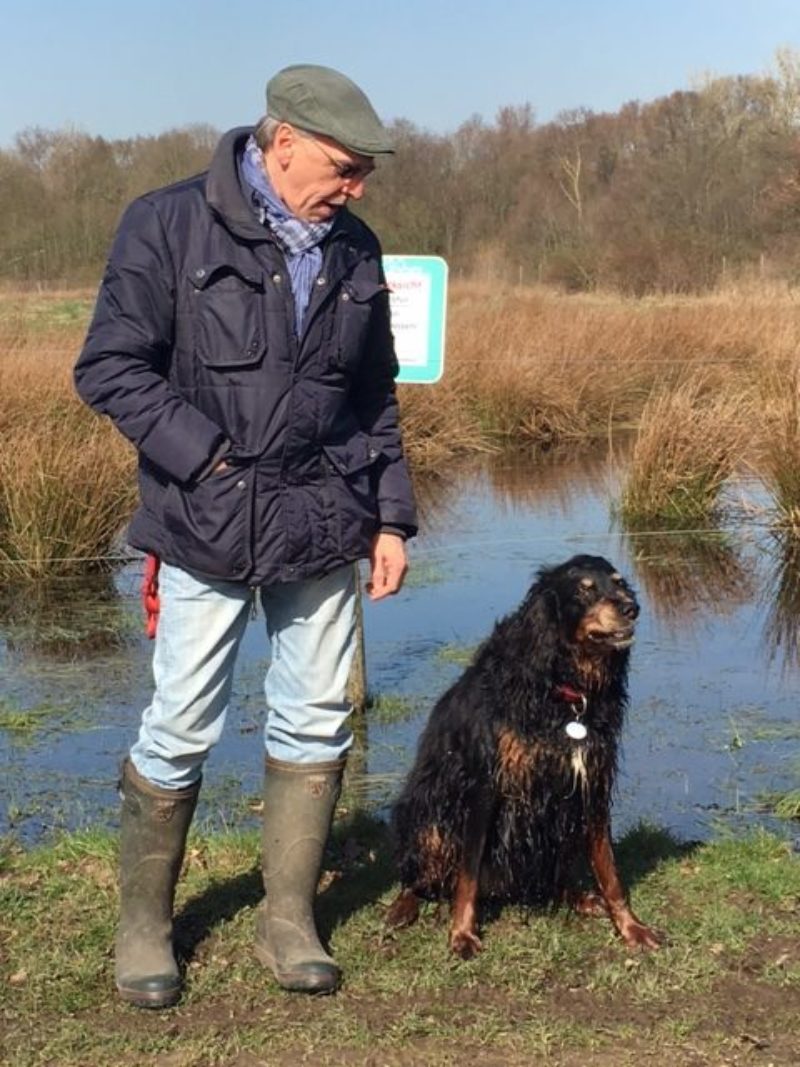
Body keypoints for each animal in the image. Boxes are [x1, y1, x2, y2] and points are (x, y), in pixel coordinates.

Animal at [388, 554, 665, 956]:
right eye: (584, 590)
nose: (632, 608)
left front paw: (631, 926)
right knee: (419, 877)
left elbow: (609, 869)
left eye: (618, 583)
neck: (564, 689)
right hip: (430, 812)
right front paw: (462, 933)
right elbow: (468, 873)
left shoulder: (593, 781)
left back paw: (578, 897)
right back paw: (403, 905)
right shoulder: (486, 784)